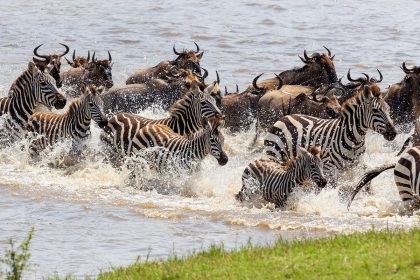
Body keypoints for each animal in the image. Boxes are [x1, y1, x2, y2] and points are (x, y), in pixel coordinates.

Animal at [266, 85, 398, 182]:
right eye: (375, 110)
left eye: (389, 109)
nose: (393, 133)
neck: (355, 141)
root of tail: (285, 117)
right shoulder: (329, 169)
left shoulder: (357, 166)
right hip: (275, 155)